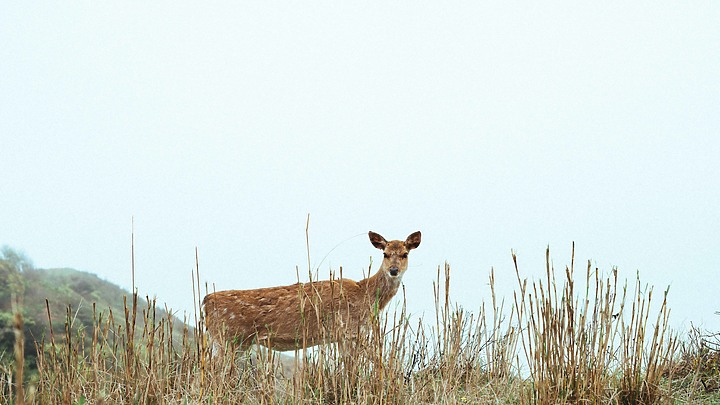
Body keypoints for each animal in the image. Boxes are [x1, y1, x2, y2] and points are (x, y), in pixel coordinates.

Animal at [202, 230, 420, 350]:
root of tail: (205, 301)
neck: (366, 294)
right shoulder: (347, 330)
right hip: (229, 338)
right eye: (385, 254)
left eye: (405, 254)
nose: (393, 270)